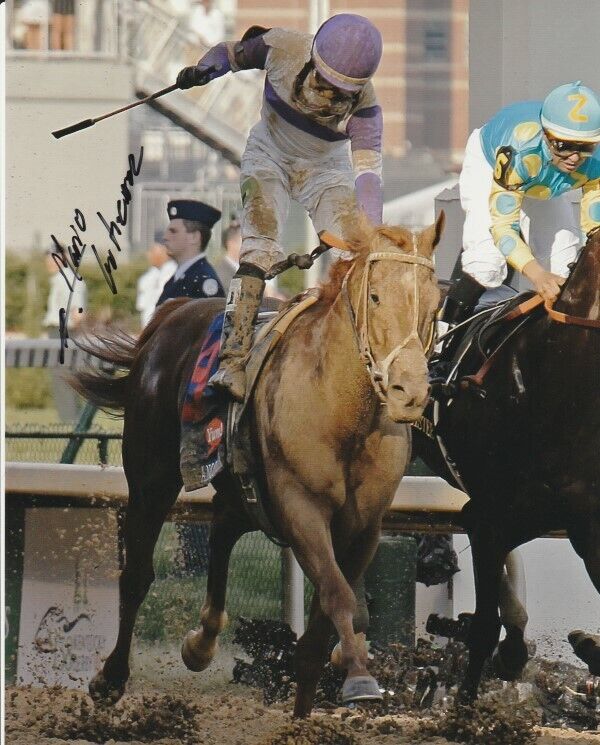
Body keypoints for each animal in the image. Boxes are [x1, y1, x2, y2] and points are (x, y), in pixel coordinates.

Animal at [72, 215, 442, 716]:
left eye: (436, 300)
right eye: (375, 296)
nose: (410, 392)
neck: (343, 411)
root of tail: (171, 314)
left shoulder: (364, 525)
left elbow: (323, 627)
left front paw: (311, 705)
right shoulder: (301, 508)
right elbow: (339, 597)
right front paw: (360, 678)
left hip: (239, 488)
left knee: (223, 528)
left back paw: (201, 642)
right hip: (150, 479)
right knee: (137, 575)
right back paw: (111, 678)